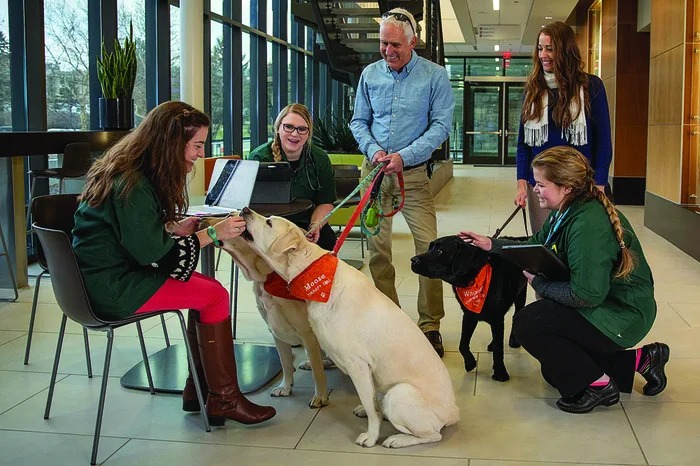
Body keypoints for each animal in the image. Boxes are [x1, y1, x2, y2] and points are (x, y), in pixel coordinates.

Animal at [201, 220, 329, 408]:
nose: (202, 222)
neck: (268, 280)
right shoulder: (276, 331)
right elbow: (285, 363)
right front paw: (285, 387)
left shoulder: (308, 333)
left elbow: (317, 371)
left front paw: (320, 396)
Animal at [239, 208, 459, 448]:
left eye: (269, 223)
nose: (245, 210)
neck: (312, 274)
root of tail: (454, 412)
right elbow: (371, 404)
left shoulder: (358, 366)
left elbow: (372, 412)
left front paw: (371, 437)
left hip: (399, 393)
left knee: (432, 435)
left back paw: (397, 439)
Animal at [410, 235, 527, 382]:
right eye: (429, 248)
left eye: (439, 251)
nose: (413, 260)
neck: (473, 276)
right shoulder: (469, 315)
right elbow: (462, 344)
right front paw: (470, 362)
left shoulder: (496, 317)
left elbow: (499, 350)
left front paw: (500, 372)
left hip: (521, 294)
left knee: (516, 314)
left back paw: (513, 340)